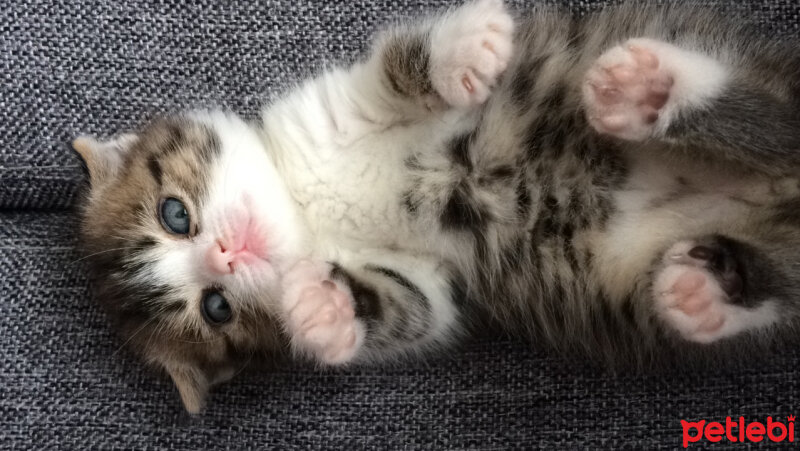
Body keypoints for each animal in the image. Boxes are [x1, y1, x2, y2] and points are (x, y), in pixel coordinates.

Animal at [72, 0, 800, 414]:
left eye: (175, 215)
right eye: (216, 307)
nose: (226, 253)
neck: (310, 206)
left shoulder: (333, 104)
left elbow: (393, 69)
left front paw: (465, 48)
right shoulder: (436, 277)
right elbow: (417, 307)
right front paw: (324, 309)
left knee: (777, 124)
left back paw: (654, 89)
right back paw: (703, 290)